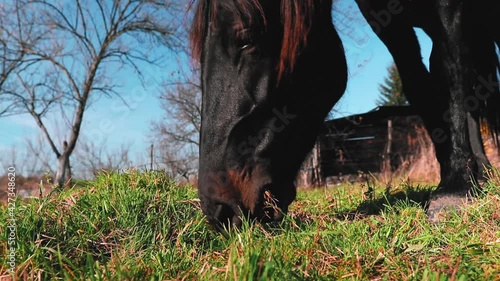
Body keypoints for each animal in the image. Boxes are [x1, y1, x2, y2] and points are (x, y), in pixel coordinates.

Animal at [189, 0, 498, 228]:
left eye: (246, 38)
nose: (219, 209)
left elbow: (453, 75)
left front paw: (455, 186)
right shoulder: (386, 20)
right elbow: (420, 85)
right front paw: (456, 172)